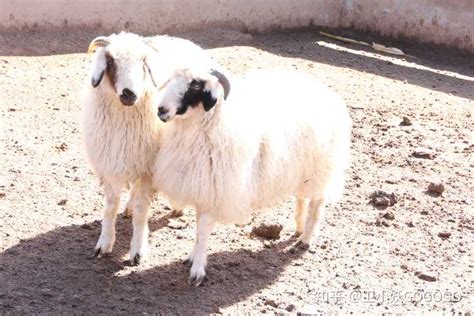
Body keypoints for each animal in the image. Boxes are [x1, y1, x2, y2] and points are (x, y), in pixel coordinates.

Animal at [81, 31, 217, 264]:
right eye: (111, 61)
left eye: (144, 62)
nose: (129, 94)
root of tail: (180, 40)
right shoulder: (111, 163)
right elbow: (110, 206)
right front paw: (104, 242)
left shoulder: (149, 170)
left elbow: (141, 210)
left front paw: (137, 250)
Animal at [154, 68, 350, 286]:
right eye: (172, 79)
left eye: (195, 85)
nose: (161, 110)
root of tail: (325, 91)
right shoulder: (204, 188)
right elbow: (198, 227)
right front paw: (193, 256)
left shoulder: (217, 188)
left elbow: (203, 228)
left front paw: (197, 270)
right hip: (302, 171)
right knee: (302, 198)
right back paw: (299, 227)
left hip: (320, 170)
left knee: (316, 204)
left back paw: (305, 239)